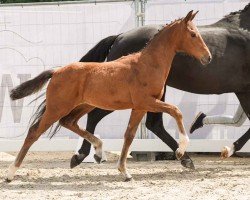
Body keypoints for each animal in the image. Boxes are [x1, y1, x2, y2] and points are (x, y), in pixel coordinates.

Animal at [6, 11, 211, 182]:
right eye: (193, 34)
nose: (207, 57)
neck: (147, 64)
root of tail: (56, 72)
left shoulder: (139, 107)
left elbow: (129, 135)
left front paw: (125, 172)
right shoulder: (146, 102)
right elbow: (176, 111)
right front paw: (181, 151)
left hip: (83, 105)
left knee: (69, 122)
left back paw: (96, 149)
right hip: (57, 107)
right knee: (34, 132)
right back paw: (10, 174)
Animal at [70, 3, 250, 169]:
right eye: (192, 34)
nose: (208, 57)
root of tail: (119, 37)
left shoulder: (243, 92)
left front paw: (228, 148)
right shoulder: (244, 91)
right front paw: (229, 149)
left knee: (153, 124)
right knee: (96, 115)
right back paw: (82, 155)